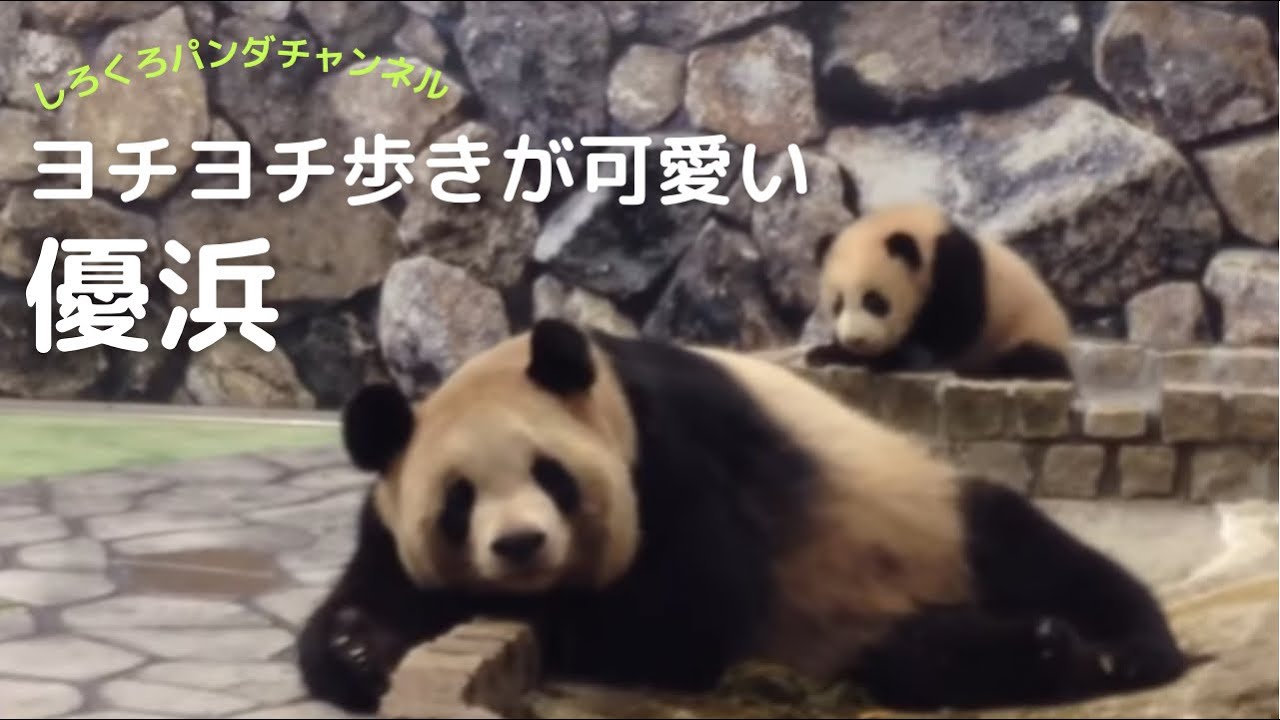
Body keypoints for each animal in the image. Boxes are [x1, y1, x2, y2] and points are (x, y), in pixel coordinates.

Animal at [296, 318, 1188, 714]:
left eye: (551, 476)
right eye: (458, 503)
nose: (520, 545)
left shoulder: (673, 449)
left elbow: (685, 614)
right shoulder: (388, 517)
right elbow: (371, 594)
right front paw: (361, 648)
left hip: (933, 523)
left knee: (1029, 547)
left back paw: (1117, 651)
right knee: (911, 658)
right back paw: (1024, 648)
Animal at [807, 202, 1075, 381]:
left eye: (875, 302)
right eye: (837, 305)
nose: (856, 340)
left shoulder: (951, 264)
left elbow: (954, 323)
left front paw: (888, 359)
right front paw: (828, 352)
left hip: (1030, 329)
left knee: (1030, 358)